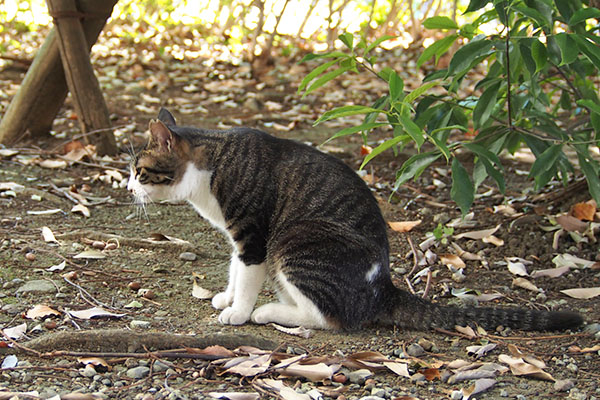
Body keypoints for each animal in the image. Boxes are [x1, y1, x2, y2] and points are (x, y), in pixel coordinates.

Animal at [126, 108, 580, 332]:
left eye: (138, 171)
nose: (128, 188)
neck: (210, 170)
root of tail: (383, 288)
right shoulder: (239, 237)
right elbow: (236, 270)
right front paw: (227, 296)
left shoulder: (254, 233)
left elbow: (248, 274)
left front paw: (237, 311)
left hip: (296, 239)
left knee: (330, 318)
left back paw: (267, 312)